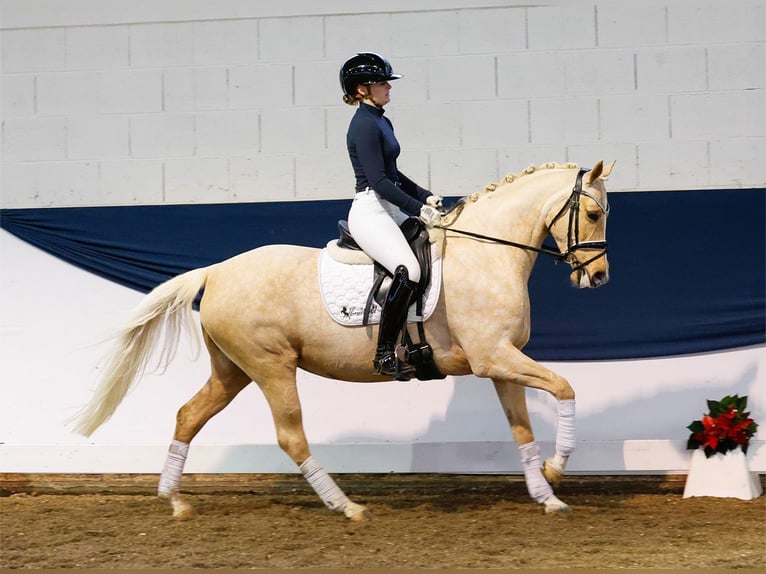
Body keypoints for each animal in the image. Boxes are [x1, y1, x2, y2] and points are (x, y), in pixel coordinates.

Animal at [70, 159, 612, 520]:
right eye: (592, 215)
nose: (599, 277)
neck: (486, 252)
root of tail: (217, 271)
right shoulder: (494, 358)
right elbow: (566, 388)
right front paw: (558, 470)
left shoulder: (502, 362)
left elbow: (522, 429)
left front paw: (547, 494)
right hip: (270, 367)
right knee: (290, 436)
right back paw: (346, 506)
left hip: (234, 371)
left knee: (189, 414)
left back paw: (176, 499)